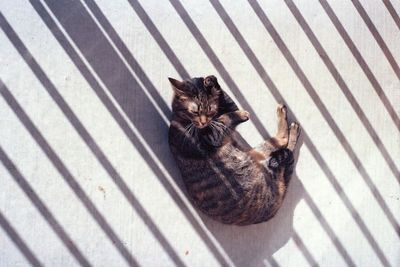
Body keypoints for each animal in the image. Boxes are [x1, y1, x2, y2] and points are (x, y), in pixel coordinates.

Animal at [168, 76, 300, 226]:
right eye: (195, 112)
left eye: (210, 110)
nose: (203, 122)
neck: (180, 118)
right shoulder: (212, 135)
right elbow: (226, 117)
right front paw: (241, 114)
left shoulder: (225, 116)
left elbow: (227, 102)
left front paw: (209, 81)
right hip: (262, 159)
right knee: (283, 144)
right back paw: (290, 124)